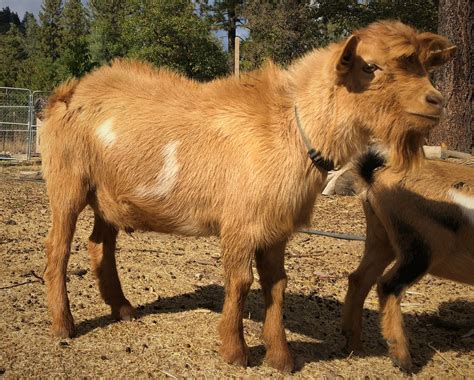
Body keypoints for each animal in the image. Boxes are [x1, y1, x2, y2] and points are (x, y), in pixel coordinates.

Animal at [42, 21, 454, 372]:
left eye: (422, 63)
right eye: (371, 67)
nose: (435, 100)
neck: (291, 129)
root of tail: (69, 92)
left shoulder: (276, 228)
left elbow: (277, 284)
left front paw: (281, 357)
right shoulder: (239, 223)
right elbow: (240, 282)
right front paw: (235, 352)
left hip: (108, 196)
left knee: (100, 244)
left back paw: (122, 308)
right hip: (67, 182)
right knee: (58, 249)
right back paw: (64, 324)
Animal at [342, 151, 472, 372]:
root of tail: (377, 177)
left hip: (381, 239)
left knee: (360, 278)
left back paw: (354, 345)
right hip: (421, 249)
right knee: (388, 285)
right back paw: (403, 360)